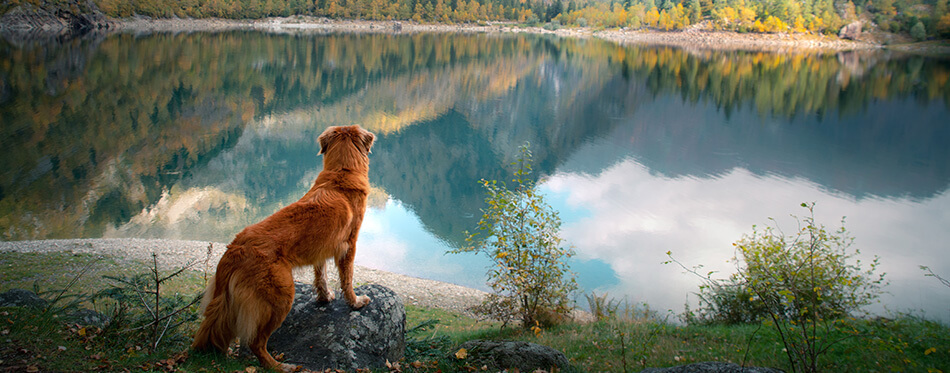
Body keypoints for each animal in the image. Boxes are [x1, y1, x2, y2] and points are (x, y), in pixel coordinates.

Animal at [192, 124, 376, 370]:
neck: (341, 173)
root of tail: (235, 250)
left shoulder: (321, 248)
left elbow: (321, 276)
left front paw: (325, 297)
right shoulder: (348, 245)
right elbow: (347, 279)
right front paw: (355, 302)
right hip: (281, 296)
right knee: (255, 342)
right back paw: (280, 366)